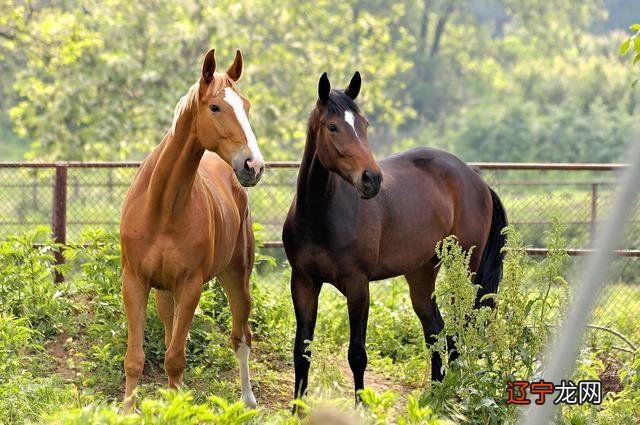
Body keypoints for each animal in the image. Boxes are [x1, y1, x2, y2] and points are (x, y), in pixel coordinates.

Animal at [121, 49, 264, 410]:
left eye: (246, 106)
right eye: (215, 107)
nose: (253, 166)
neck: (162, 206)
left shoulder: (190, 286)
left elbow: (175, 359)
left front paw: (176, 409)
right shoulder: (135, 282)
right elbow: (136, 358)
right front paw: (127, 410)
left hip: (236, 277)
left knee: (241, 336)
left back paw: (247, 399)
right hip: (163, 292)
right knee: (171, 334)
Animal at [282, 72, 508, 400]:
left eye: (364, 124)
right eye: (333, 127)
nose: (371, 179)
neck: (319, 216)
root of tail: (475, 178)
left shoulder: (358, 286)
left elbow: (357, 354)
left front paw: (362, 405)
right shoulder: (303, 282)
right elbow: (302, 352)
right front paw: (297, 407)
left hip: (464, 269)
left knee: (459, 329)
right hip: (422, 272)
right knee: (436, 330)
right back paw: (436, 396)